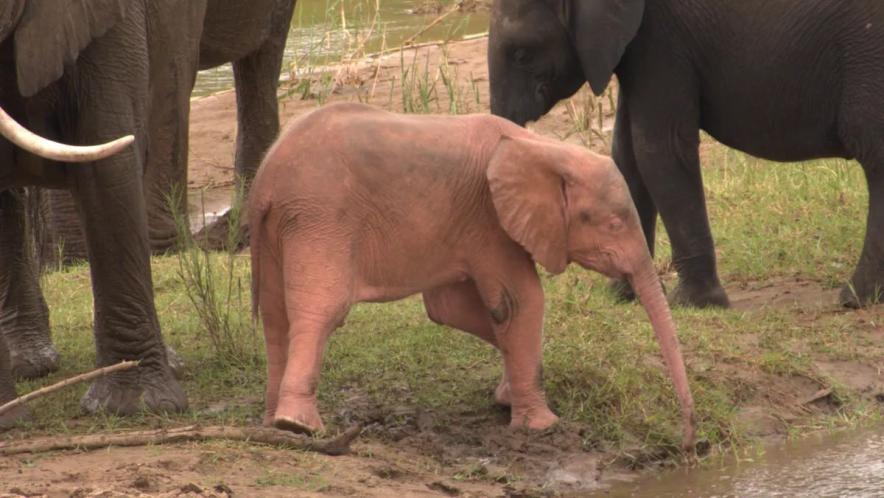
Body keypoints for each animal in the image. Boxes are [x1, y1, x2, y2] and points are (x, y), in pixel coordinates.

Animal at [249, 101, 696, 448]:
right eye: (614, 224)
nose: (693, 441)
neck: (542, 148)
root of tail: (264, 181)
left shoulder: (467, 225)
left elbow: (452, 309)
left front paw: (506, 398)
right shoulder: (490, 219)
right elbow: (520, 302)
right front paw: (541, 427)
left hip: (280, 230)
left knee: (275, 316)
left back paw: (273, 424)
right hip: (320, 219)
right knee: (321, 310)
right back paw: (299, 426)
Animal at [486, 0, 884, 310]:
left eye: (521, 54)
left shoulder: (663, 39)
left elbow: (657, 148)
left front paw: (693, 304)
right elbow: (626, 155)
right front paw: (624, 296)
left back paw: (854, 299)